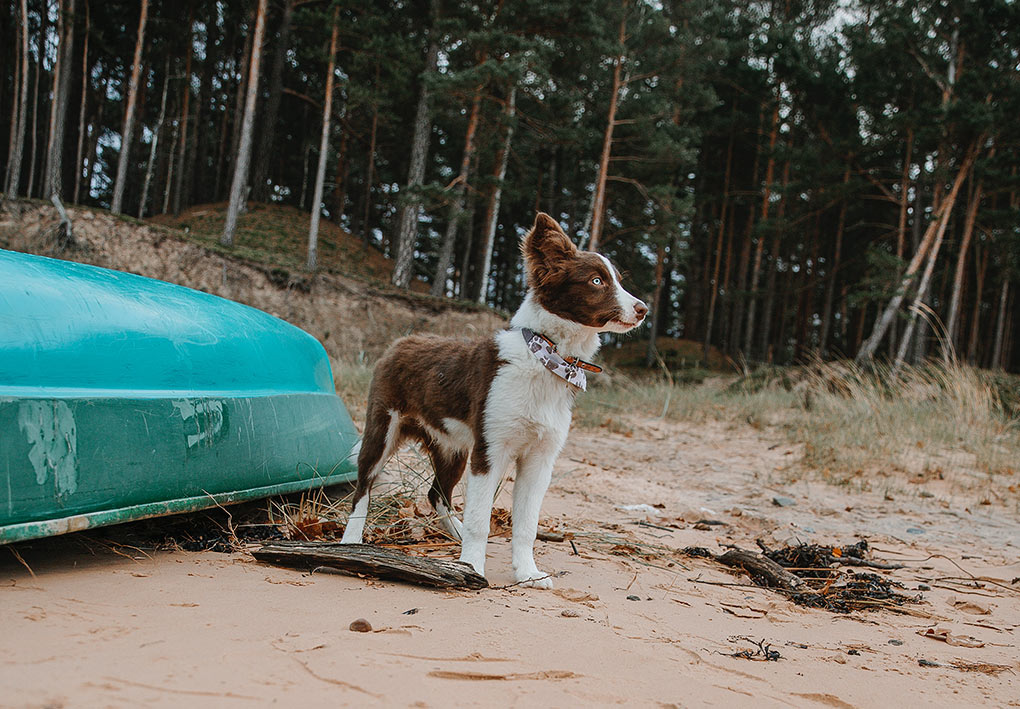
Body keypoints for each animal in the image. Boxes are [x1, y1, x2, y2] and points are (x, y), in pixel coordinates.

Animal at [342, 212, 644, 587]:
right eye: (596, 281)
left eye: (618, 280)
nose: (643, 309)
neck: (546, 355)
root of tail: (400, 342)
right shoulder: (490, 452)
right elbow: (479, 520)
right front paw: (472, 567)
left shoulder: (539, 460)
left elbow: (526, 525)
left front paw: (527, 573)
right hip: (382, 431)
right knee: (363, 488)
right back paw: (350, 543)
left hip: (452, 447)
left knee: (436, 493)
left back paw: (453, 531)